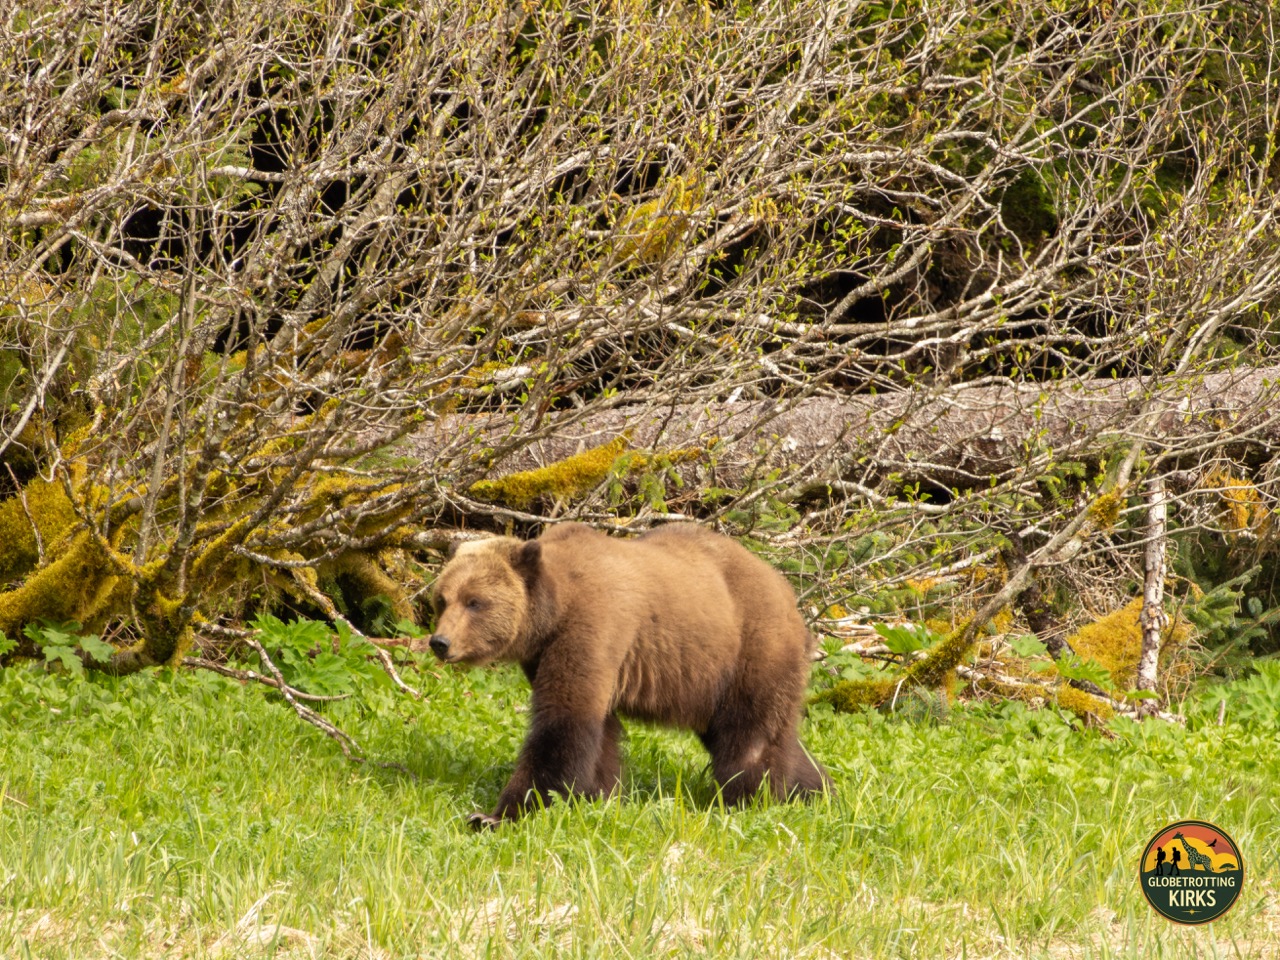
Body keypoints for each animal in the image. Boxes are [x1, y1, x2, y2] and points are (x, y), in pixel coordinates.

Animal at [427, 522, 830, 827]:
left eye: (475, 601)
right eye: (443, 599)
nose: (440, 642)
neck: (553, 612)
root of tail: (789, 593)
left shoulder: (593, 626)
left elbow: (562, 724)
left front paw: (496, 815)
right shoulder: (545, 655)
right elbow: (599, 733)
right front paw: (598, 796)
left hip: (750, 650)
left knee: (750, 737)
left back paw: (746, 800)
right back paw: (817, 790)